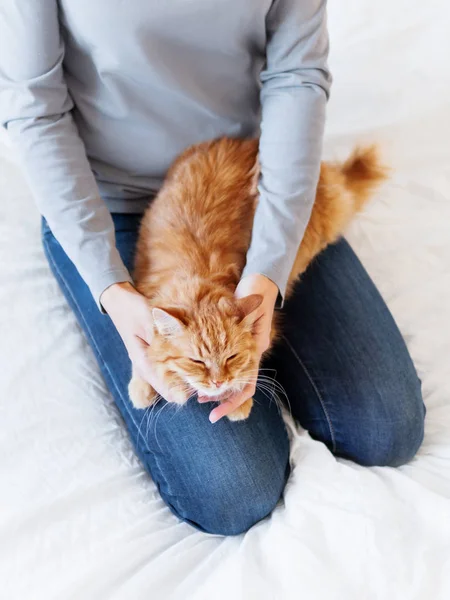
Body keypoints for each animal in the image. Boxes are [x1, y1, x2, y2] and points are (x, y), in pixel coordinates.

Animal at [127, 137, 386, 420]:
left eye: (231, 357)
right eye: (197, 362)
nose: (218, 382)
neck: (197, 275)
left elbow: (253, 361)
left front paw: (239, 400)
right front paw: (141, 385)